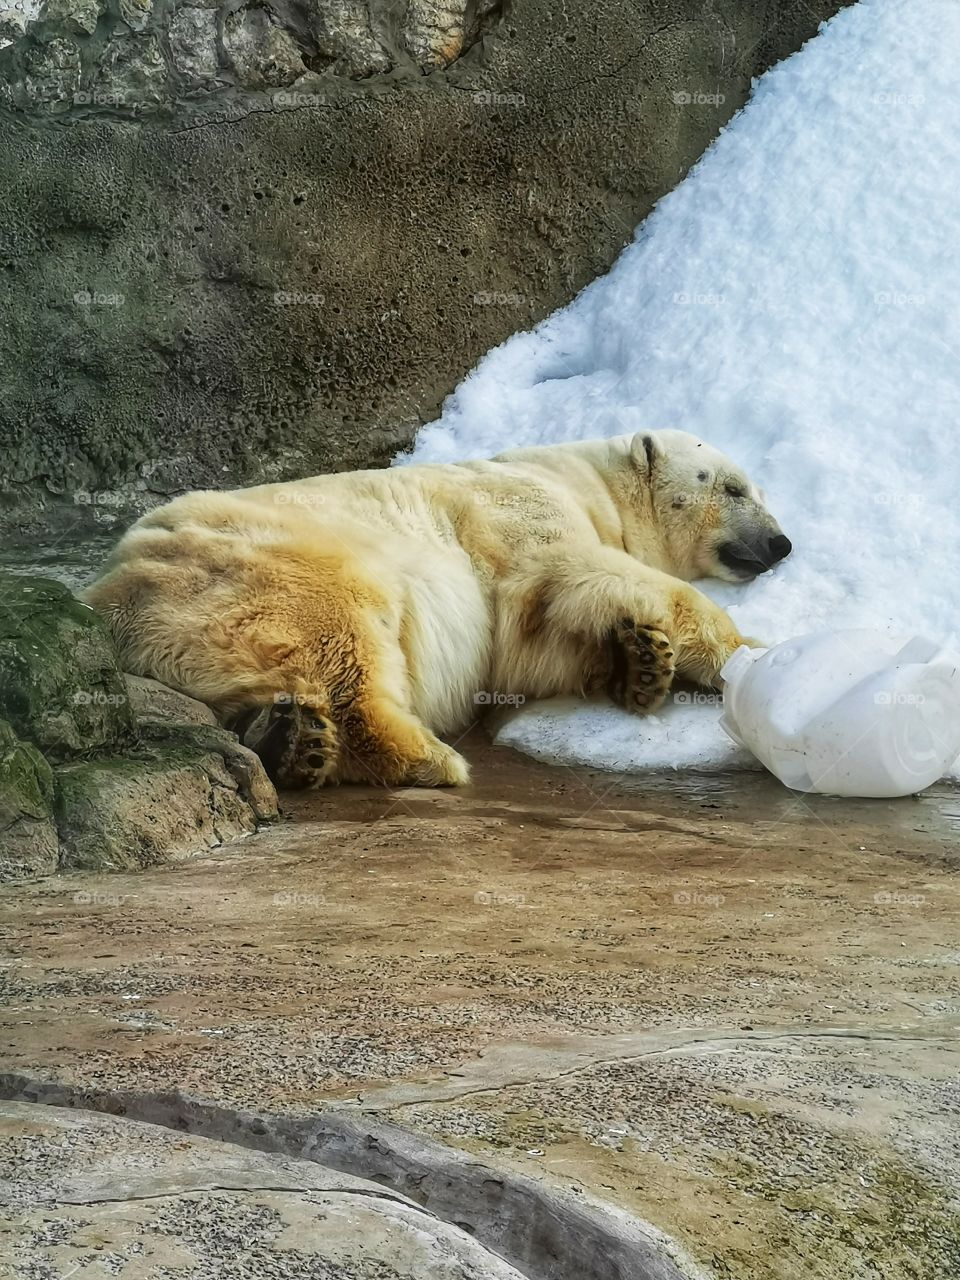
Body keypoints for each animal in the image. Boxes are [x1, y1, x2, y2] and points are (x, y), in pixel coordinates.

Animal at [83, 429, 791, 788]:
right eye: (733, 487)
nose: (782, 543)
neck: (583, 479)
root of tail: (111, 598)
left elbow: (530, 647)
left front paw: (642, 664)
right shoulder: (523, 516)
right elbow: (567, 577)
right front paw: (746, 653)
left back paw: (290, 740)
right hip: (275, 562)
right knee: (347, 641)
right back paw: (425, 757)